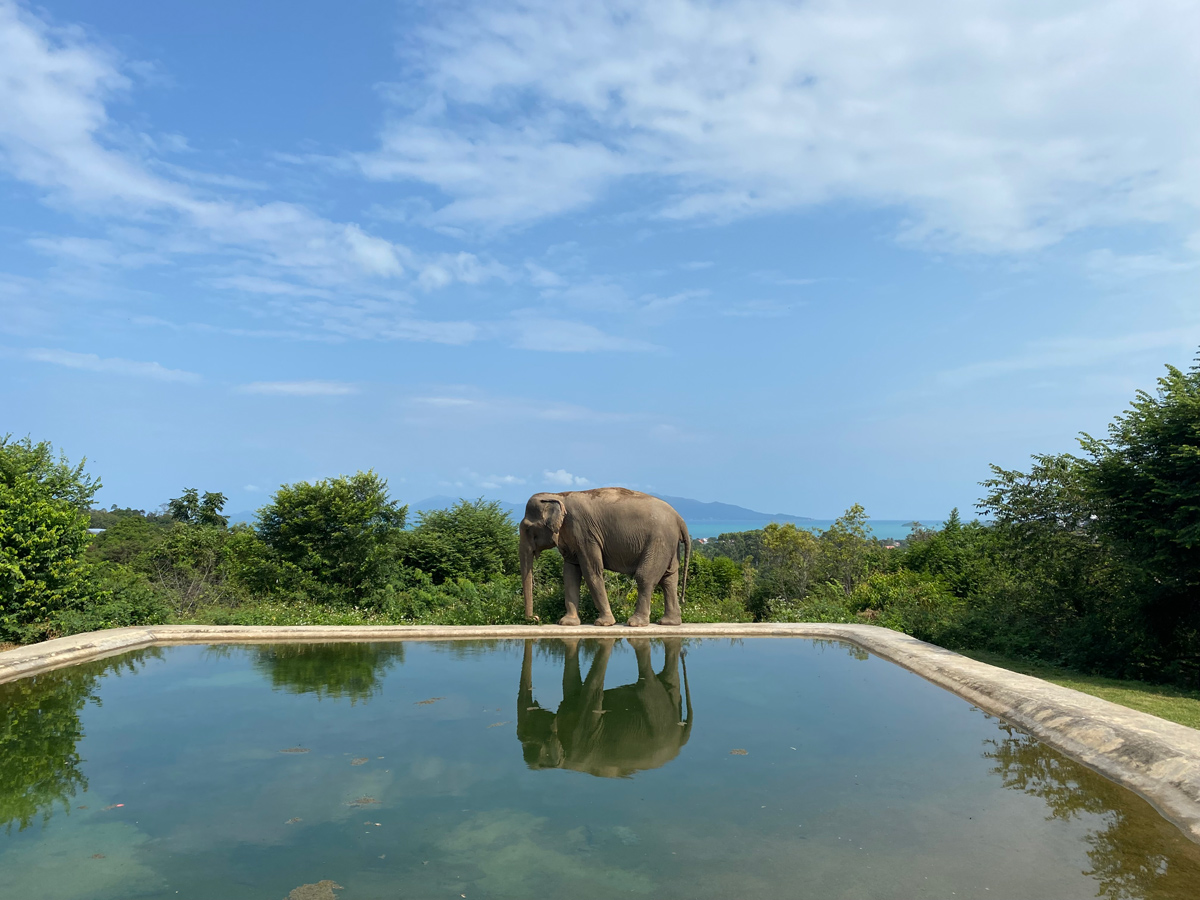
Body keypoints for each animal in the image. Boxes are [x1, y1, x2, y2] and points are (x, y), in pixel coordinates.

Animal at [516, 638, 696, 777]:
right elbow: (571, 688)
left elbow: (589, 689)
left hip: (658, 716)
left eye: (531, 729)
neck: (563, 763)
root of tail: (680, 742)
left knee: (647, 685)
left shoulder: (580, 737)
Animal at [518, 489, 696, 628]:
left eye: (527, 529)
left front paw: (604, 623)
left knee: (645, 577)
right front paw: (567, 623)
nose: (535, 618)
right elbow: (570, 573)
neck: (559, 495)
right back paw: (669, 623)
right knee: (669, 579)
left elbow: (591, 571)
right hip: (669, 544)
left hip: (659, 540)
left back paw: (635, 623)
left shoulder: (585, 534)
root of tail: (679, 518)